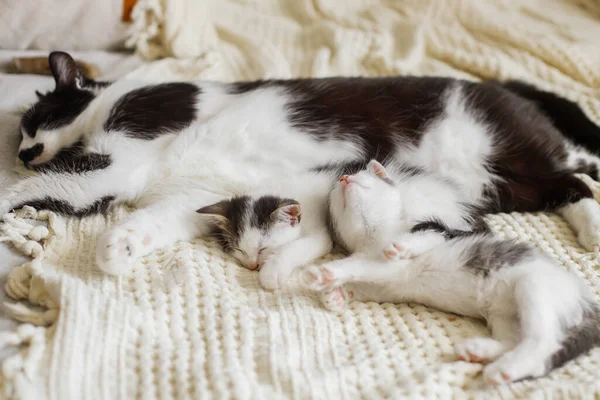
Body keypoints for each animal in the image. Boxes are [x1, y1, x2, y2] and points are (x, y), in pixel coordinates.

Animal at [3, 50, 600, 282]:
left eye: (35, 119)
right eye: (22, 135)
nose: (22, 151)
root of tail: (508, 89)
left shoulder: (121, 151)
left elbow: (50, 183)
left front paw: (14, 194)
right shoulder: (186, 196)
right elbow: (150, 219)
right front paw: (118, 246)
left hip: (502, 150)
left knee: (579, 168)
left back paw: (593, 223)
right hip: (506, 185)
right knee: (570, 182)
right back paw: (591, 226)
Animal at [302, 161, 600, 386]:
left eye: (360, 175)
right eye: (334, 196)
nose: (343, 177)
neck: (375, 236)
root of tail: (587, 299)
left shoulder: (437, 231)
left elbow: (377, 257)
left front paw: (327, 271)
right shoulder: (384, 283)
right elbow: (364, 276)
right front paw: (335, 295)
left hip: (535, 287)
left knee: (543, 342)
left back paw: (506, 368)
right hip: (505, 315)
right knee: (514, 339)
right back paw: (479, 351)